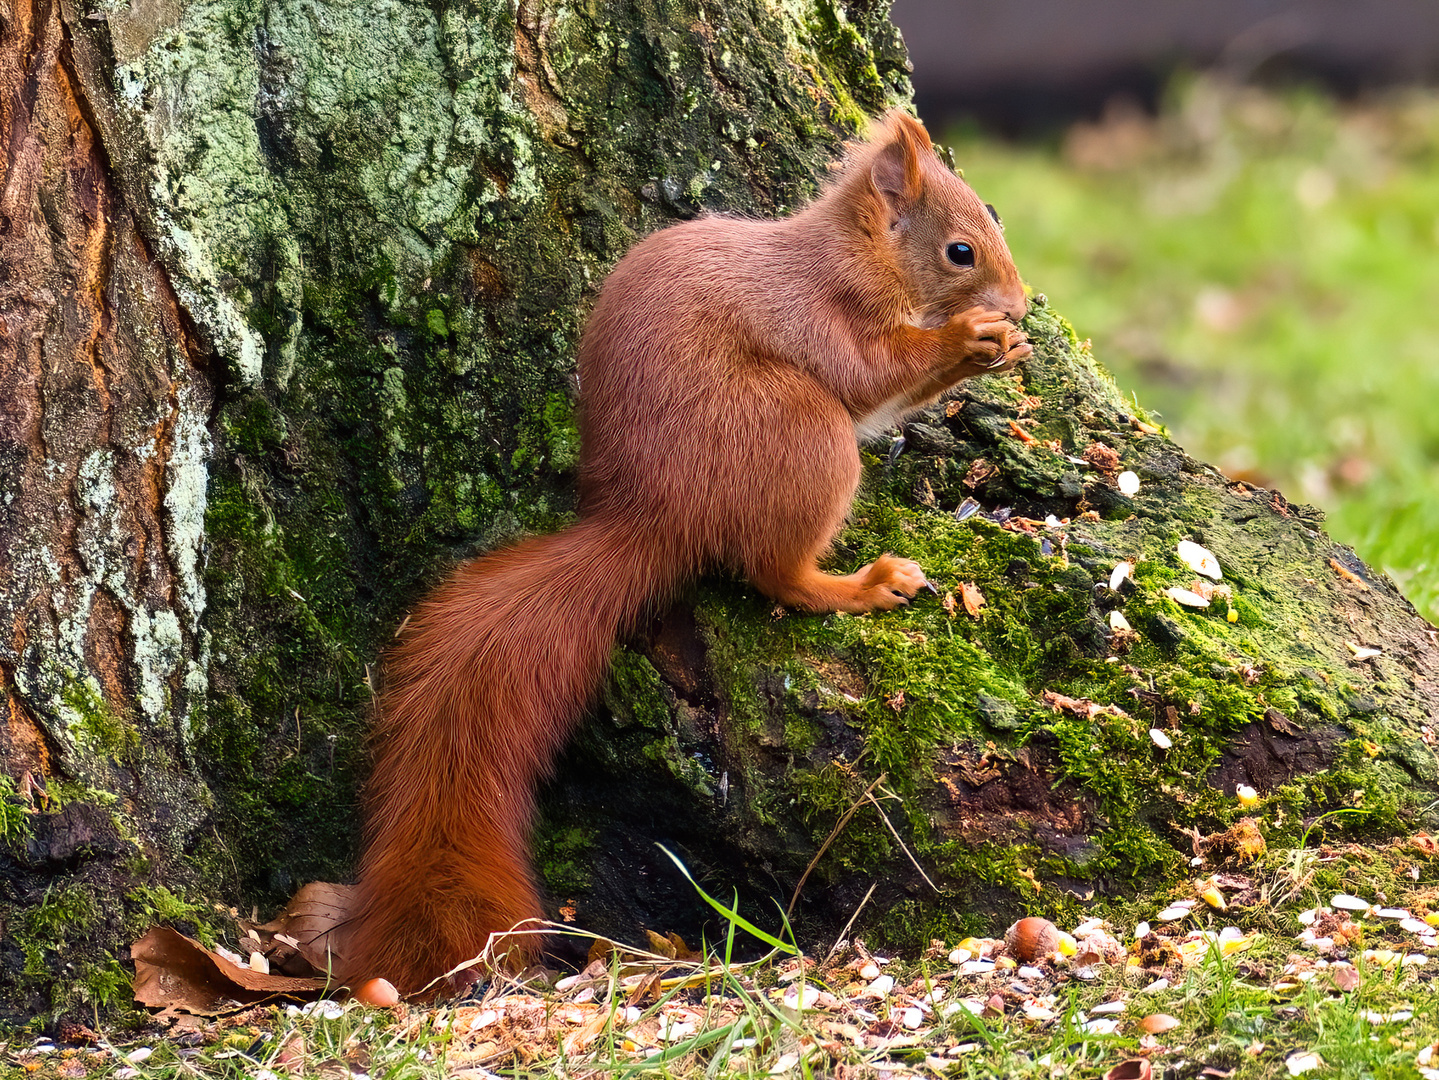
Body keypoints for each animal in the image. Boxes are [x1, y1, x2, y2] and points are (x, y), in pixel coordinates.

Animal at [343, 112, 1030, 995]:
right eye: (959, 251)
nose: (1020, 303)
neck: (856, 255)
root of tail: (652, 519)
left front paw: (1003, 347)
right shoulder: (819, 312)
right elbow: (871, 372)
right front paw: (969, 337)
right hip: (798, 433)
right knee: (777, 573)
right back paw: (857, 584)